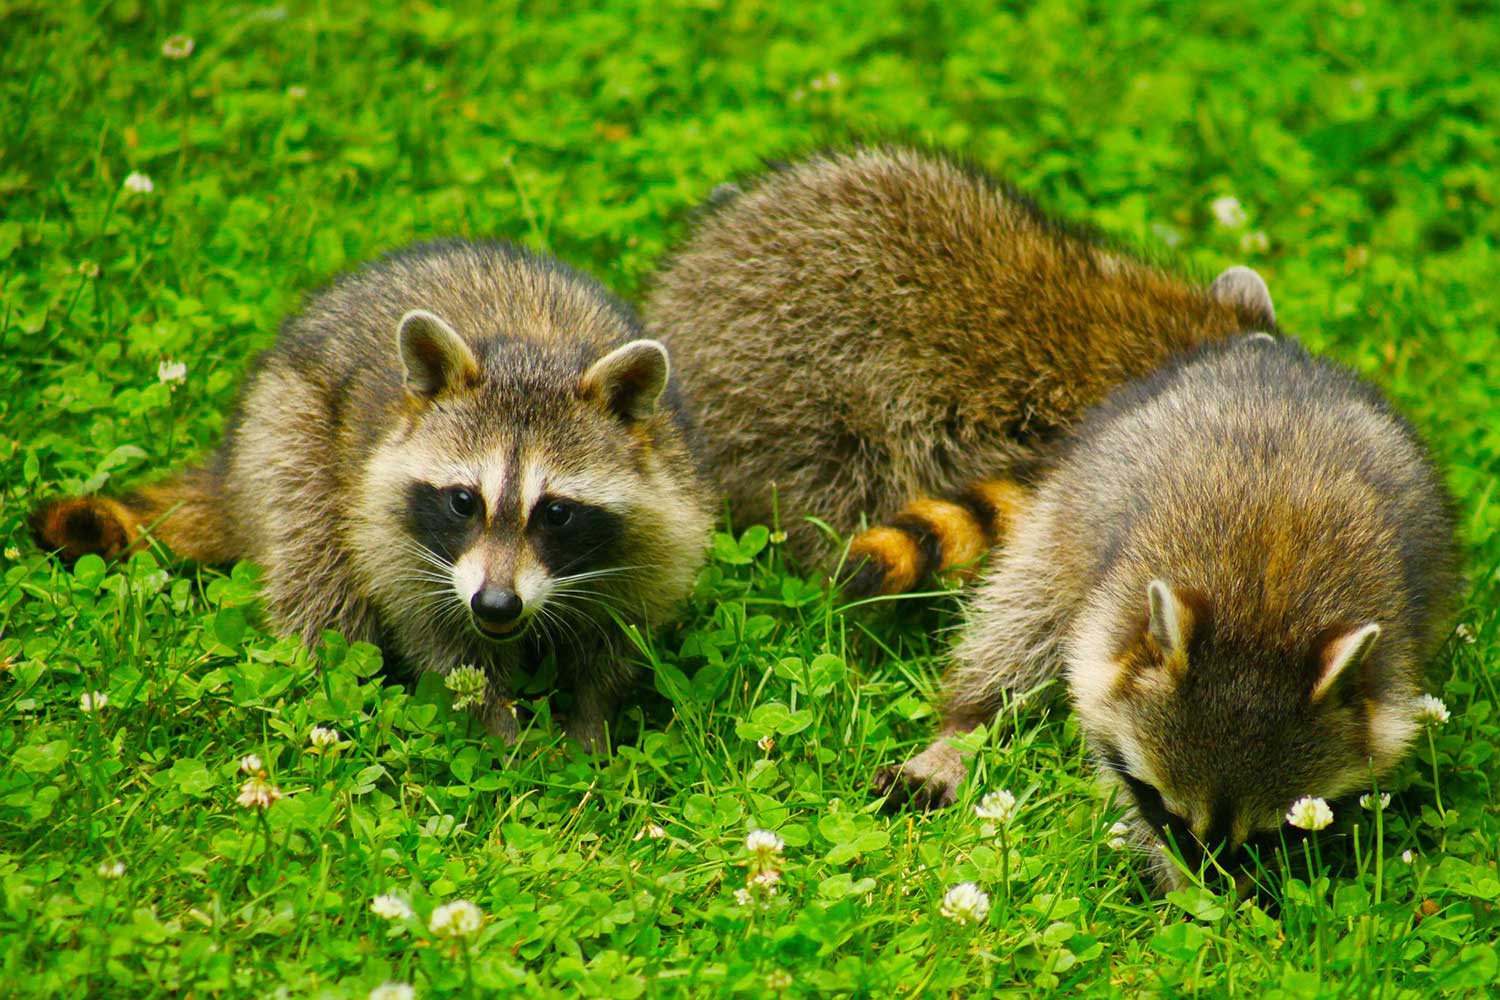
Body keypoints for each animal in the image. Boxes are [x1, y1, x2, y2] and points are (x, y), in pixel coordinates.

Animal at [30, 238, 714, 746]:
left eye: (557, 513)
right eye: (464, 501)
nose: (496, 606)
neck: (532, 353)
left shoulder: (660, 523)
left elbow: (614, 639)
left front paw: (589, 730)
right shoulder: (393, 530)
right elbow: (446, 646)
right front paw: (504, 740)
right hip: (286, 433)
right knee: (317, 573)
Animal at [876, 338, 1458, 893]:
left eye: (1271, 835)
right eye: (1168, 813)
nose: (1207, 895)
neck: (1265, 610)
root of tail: (1274, 356)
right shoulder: (1111, 606)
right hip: (1071, 505)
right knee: (1022, 617)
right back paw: (966, 725)